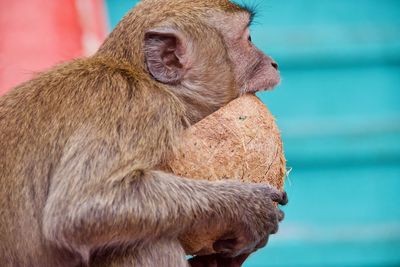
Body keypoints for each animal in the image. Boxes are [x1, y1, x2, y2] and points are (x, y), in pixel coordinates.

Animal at [0, 0, 288, 267]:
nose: (273, 63)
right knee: (148, 243)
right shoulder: (142, 107)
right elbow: (76, 210)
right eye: (248, 40)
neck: (143, 76)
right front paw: (249, 207)